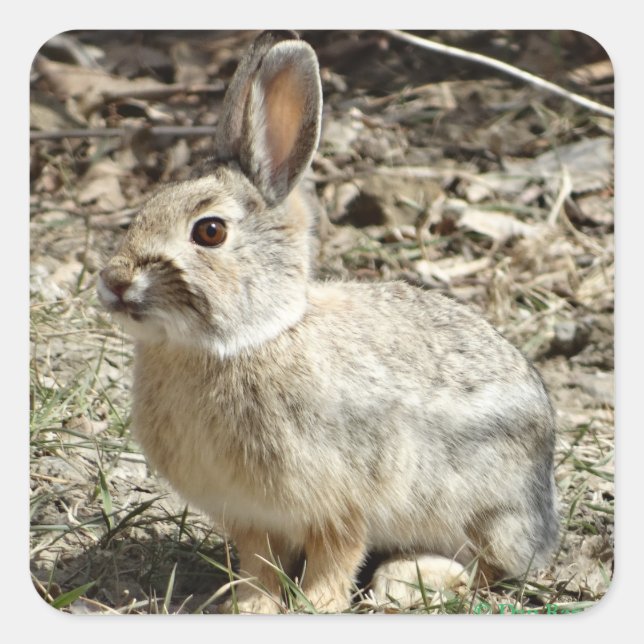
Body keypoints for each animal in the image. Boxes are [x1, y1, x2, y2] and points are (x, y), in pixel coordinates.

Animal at [97, 30, 559, 613]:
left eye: (209, 232)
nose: (113, 281)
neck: (247, 340)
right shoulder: (251, 515)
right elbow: (260, 563)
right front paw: (249, 606)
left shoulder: (343, 503)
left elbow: (337, 556)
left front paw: (316, 606)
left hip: (486, 508)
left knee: (488, 568)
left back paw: (410, 579)